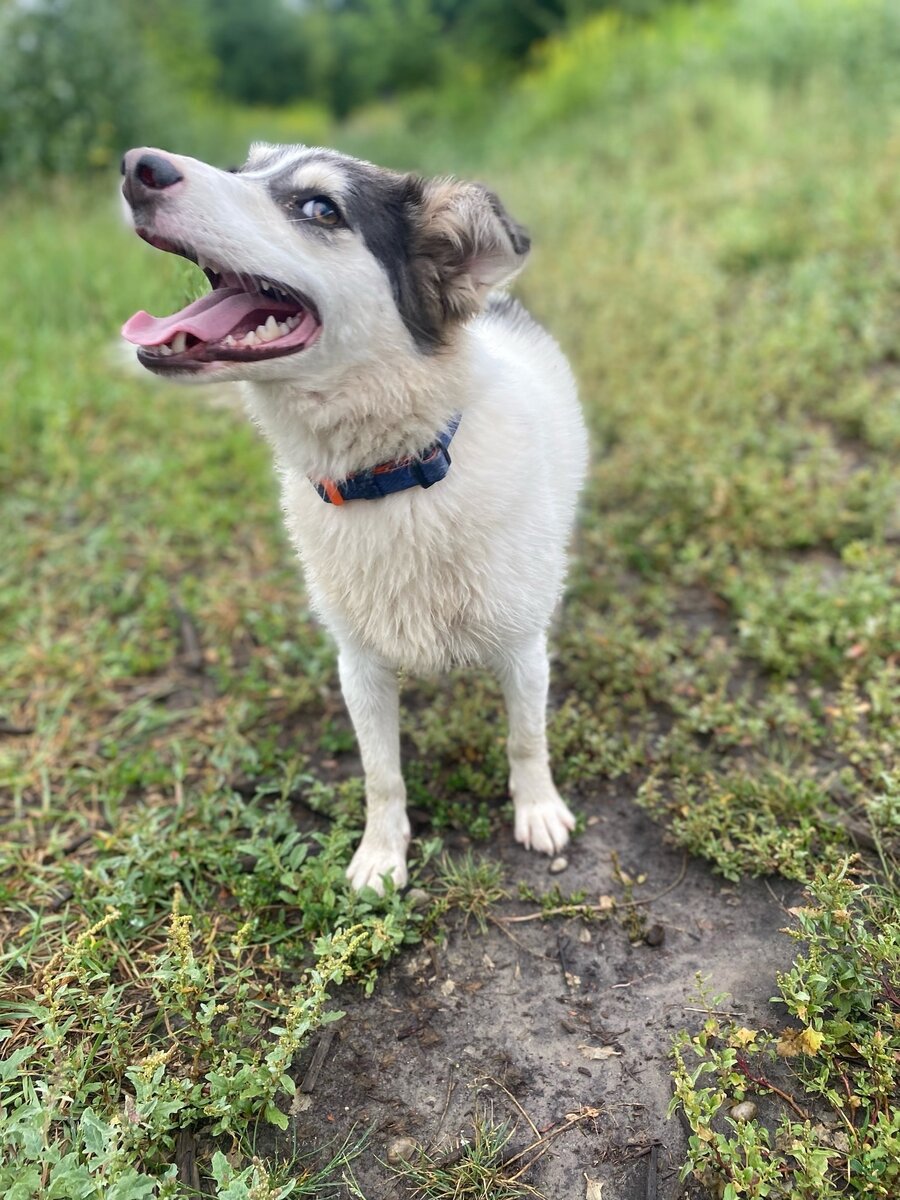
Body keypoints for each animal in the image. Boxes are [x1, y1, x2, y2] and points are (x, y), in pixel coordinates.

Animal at [120, 142, 588, 892]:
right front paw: (382, 854)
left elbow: (526, 737)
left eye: (320, 208)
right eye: (242, 168)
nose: (140, 166)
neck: (395, 479)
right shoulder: (360, 665)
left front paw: (538, 809)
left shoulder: (521, 649)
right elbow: (381, 774)